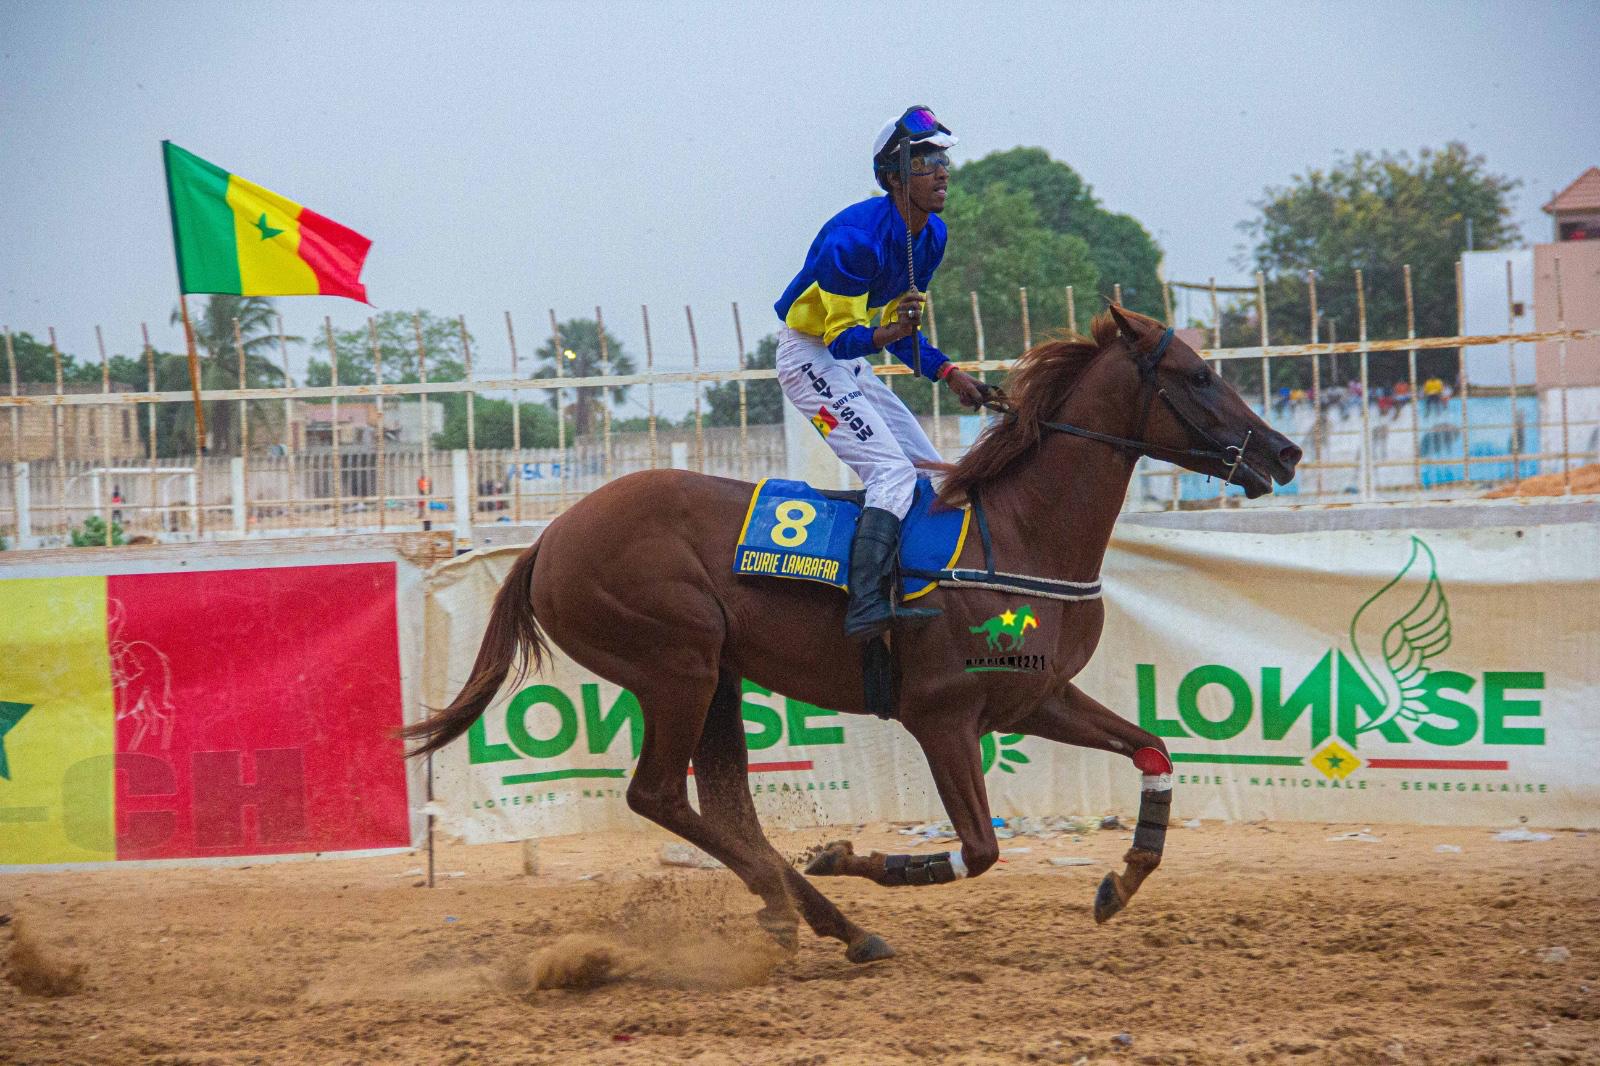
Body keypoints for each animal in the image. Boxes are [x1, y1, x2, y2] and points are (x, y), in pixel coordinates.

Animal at [404, 305, 1301, 964]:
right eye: (1199, 375)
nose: (1286, 452)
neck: (1019, 536)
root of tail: (549, 540)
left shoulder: (1035, 697)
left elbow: (1154, 748)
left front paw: (1124, 878)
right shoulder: (942, 716)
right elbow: (979, 849)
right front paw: (849, 859)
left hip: (717, 675)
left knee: (725, 804)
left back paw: (812, 917)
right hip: (675, 665)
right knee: (658, 795)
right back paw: (820, 912)